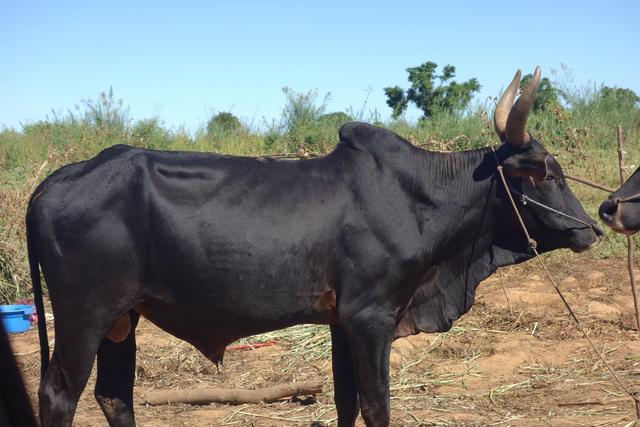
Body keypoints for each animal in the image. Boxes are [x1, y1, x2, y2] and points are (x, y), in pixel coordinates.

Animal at [27, 67, 604, 427]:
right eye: (544, 173)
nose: (591, 228)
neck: (420, 198)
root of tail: (54, 182)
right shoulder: (371, 317)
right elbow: (376, 406)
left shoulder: (340, 321)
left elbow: (347, 403)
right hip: (85, 314)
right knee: (59, 395)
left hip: (122, 318)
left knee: (113, 396)